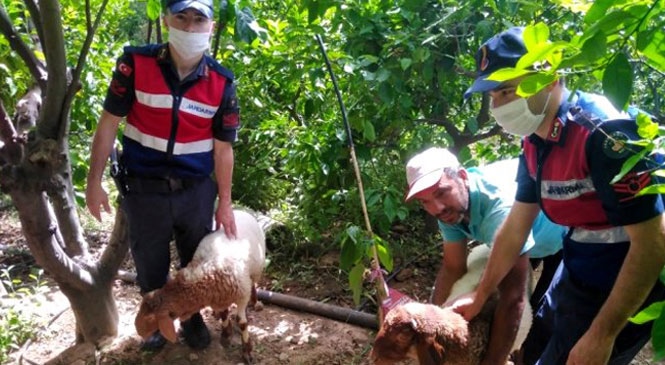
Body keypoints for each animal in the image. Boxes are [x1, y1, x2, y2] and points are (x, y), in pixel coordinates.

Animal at [134, 208, 266, 362]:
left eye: (151, 318)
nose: (138, 331)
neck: (208, 271)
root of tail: (241, 210)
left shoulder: (241, 295)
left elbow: (242, 323)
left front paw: (247, 351)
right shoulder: (221, 298)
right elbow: (224, 314)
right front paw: (226, 334)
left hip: (256, 270)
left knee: (253, 284)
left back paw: (255, 302)